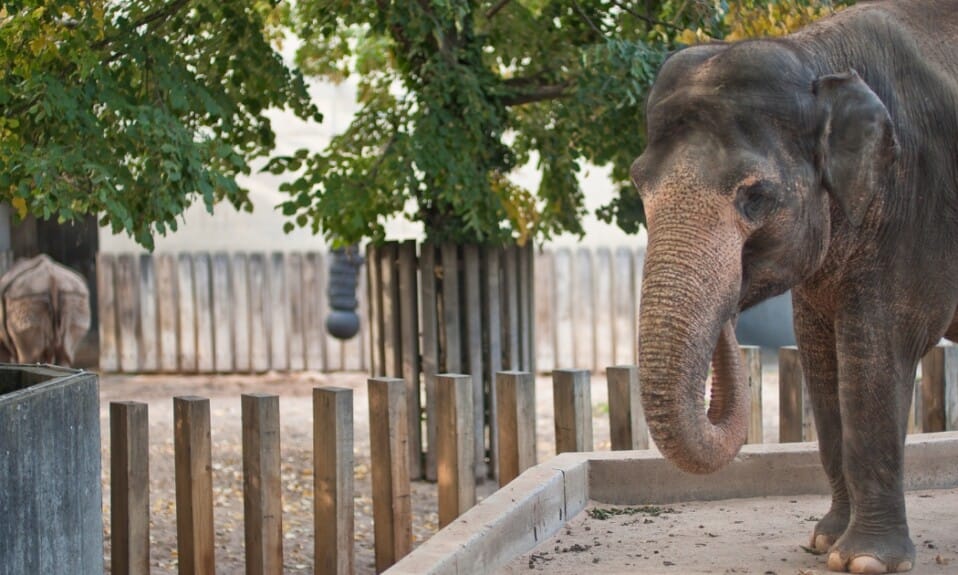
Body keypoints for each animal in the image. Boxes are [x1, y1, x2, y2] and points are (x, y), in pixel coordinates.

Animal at [636, 0, 958, 572]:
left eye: (756, 196)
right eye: (636, 183)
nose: (731, 312)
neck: (816, 56)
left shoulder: (920, 204)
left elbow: (880, 352)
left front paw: (866, 560)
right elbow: (818, 358)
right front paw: (825, 542)